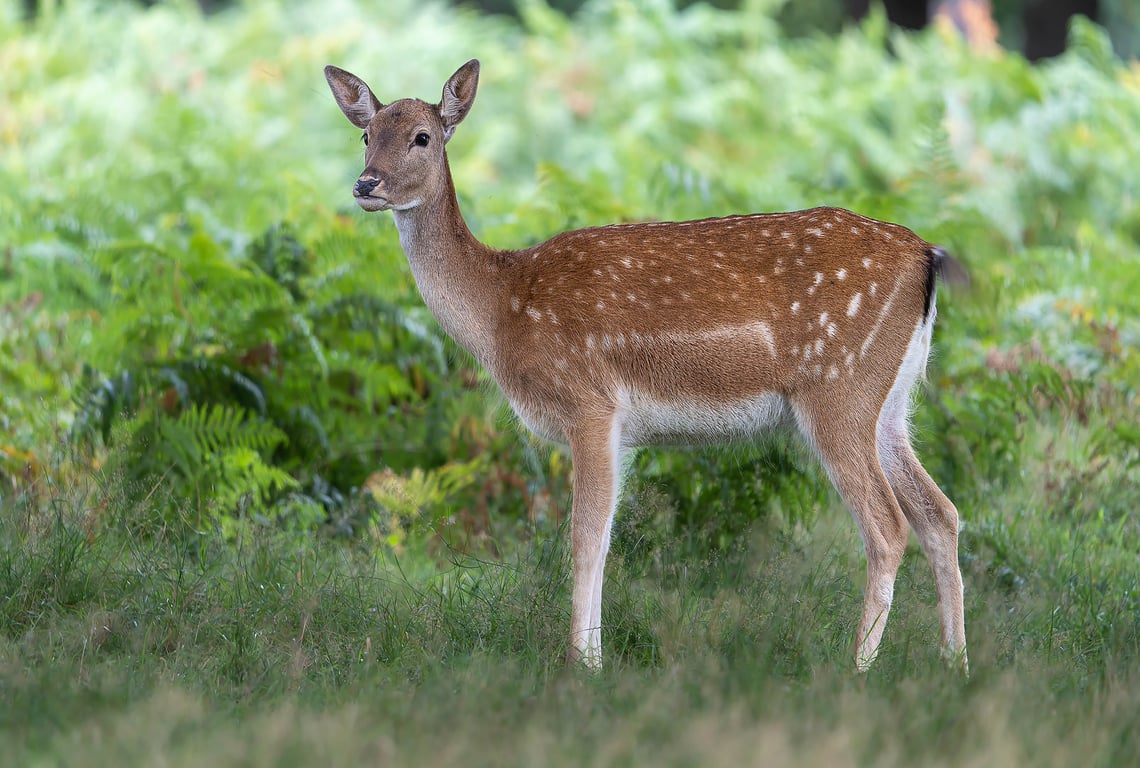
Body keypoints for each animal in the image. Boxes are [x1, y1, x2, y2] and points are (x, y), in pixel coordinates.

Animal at [324, 59, 968, 672]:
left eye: (423, 137)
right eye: (366, 135)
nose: (366, 183)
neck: (502, 307)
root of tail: (924, 255)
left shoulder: (588, 401)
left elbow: (586, 537)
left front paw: (583, 665)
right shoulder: (615, 428)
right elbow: (606, 536)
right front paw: (594, 656)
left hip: (838, 387)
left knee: (887, 525)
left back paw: (857, 668)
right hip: (890, 401)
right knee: (940, 513)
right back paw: (955, 664)